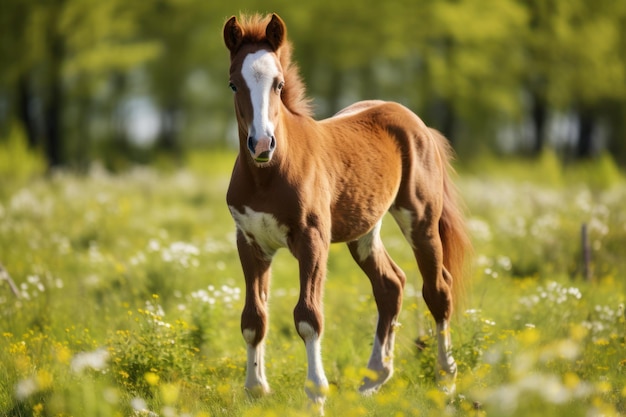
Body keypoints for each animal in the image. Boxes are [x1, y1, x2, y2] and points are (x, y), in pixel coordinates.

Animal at [221, 12, 468, 406]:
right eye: (233, 84)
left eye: (278, 84)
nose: (261, 144)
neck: (267, 174)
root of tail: (417, 123)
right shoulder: (249, 242)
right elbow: (253, 318)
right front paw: (256, 390)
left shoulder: (312, 240)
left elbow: (308, 317)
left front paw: (316, 394)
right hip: (364, 231)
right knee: (390, 285)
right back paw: (373, 380)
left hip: (421, 221)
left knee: (438, 289)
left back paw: (445, 381)